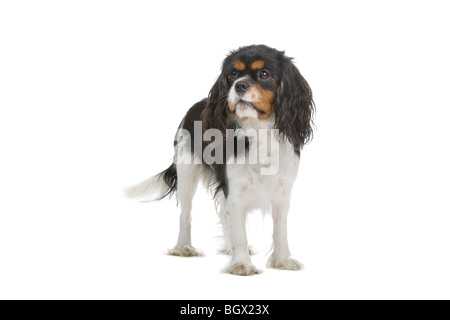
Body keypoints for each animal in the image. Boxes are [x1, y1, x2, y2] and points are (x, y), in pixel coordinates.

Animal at [126, 45, 314, 276]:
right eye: (232, 74)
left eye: (264, 74)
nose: (240, 85)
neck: (258, 130)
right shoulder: (234, 189)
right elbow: (239, 231)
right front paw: (242, 264)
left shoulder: (282, 191)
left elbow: (280, 230)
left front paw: (282, 260)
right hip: (187, 173)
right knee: (185, 214)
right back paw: (183, 247)